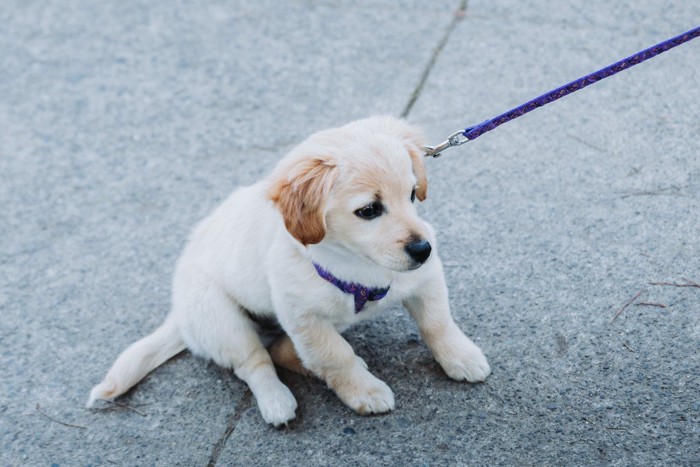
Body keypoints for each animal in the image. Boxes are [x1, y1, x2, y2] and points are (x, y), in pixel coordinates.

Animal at [87, 117, 490, 428]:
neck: (358, 263)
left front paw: (461, 357)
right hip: (222, 321)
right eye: (369, 210)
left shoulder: (425, 278)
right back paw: (276, 401)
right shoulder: (303, 317)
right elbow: (335, 356)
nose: (423, 249)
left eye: (411, 194)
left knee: (282, 349)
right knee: (256, 362)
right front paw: (364, 390)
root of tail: (179, 316)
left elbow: (437, 323)